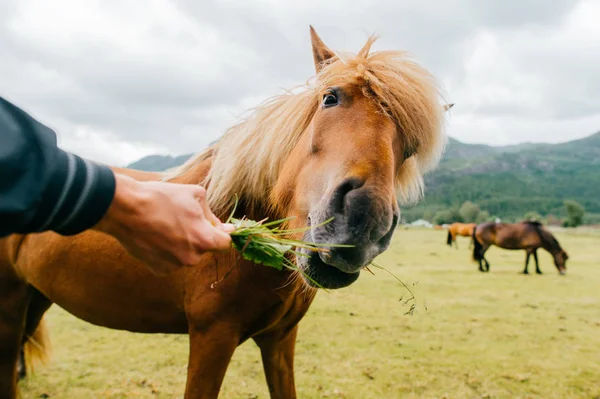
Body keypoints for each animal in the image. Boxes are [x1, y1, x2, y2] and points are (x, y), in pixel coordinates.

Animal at [1, 26, 450, 398]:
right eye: (330, 98)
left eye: (410, 146)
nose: (362, 221)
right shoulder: (211, 338)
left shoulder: (280, 341)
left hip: (35, 298)